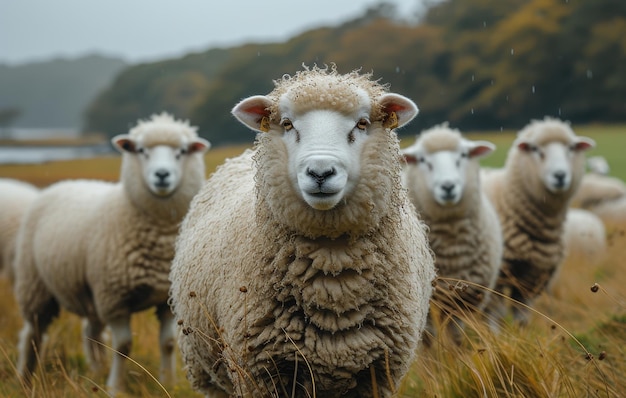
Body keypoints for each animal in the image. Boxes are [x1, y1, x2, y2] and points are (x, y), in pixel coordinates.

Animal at [12, 112, 210, 394]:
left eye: (181, 152)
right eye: (141, 150)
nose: (162, 175)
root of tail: (64, 182)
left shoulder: (166, 301)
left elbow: (168, 343)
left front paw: (168, 382)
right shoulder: (114, 299)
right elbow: (123, 346)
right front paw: (116, 387)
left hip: (88, 291)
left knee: (91, 331)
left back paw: (95, 371)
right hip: (35, 284)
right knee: (33, 333)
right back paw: (26, 377)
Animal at [167, 66, 434, 398]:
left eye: (362, 124)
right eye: (287, 124)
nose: (320, 172)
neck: (333, 272)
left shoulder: (379, 374)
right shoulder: (258, 374)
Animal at [402, 124, 500, 342]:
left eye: (463, 155)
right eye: (422, 160)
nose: (448, 186)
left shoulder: (461, 300)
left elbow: (456, 337)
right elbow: (428, 339)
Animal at [482, 116, 596, 324]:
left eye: (570, 148)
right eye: (536, 149)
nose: (560, 175)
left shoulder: (532, 280)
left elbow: (522, 318)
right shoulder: (498, 276)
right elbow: (495, 317)